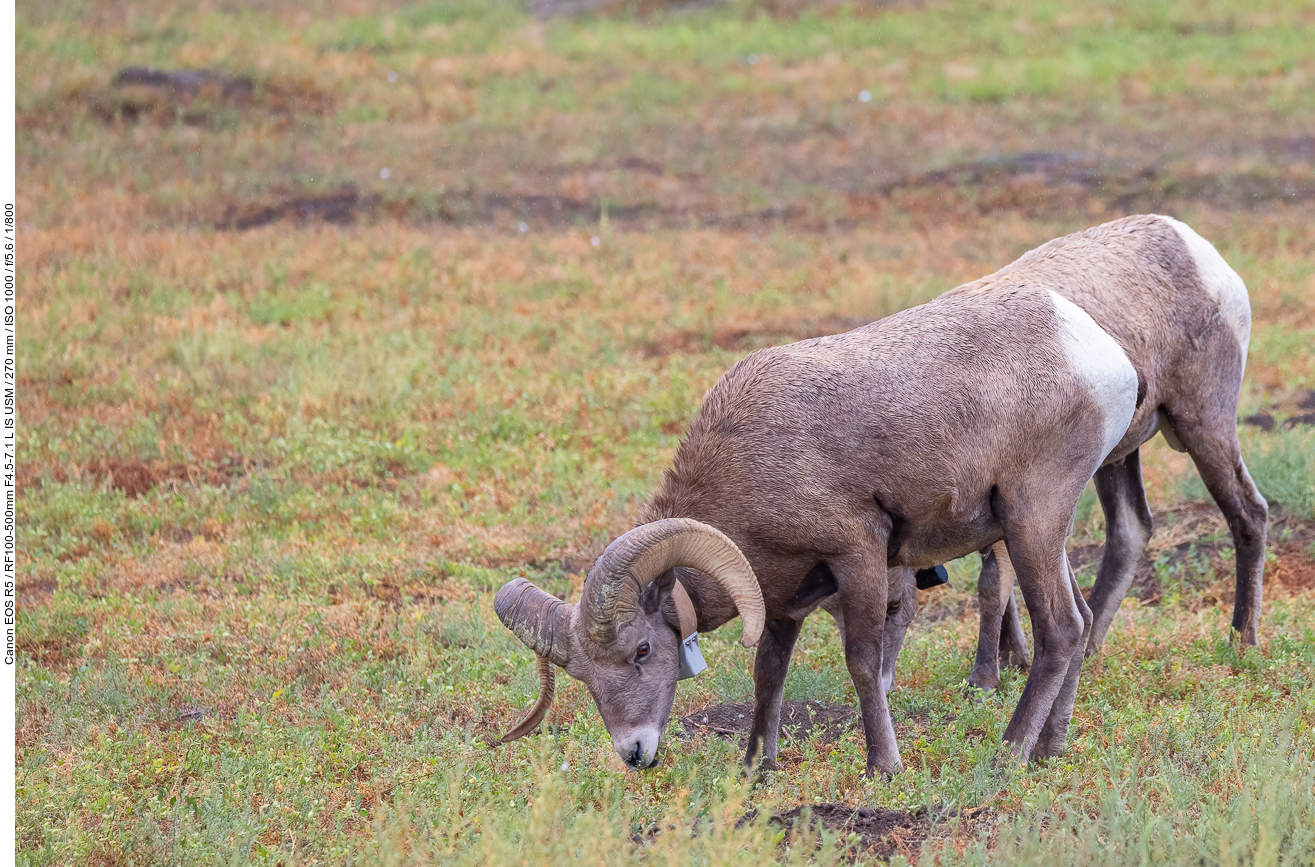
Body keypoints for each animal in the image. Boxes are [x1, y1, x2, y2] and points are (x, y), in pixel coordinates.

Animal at [494, 213, 1262, 778]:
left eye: (642, 652)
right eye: (586, 677)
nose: (635, 754)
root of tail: (1099, 353)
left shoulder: (859, 556)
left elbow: (864, 660)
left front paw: (881, 766)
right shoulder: (783, 591)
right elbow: (768, 669)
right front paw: (755, 765)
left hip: (1056, 503)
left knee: (1075, 622)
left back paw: (1014, 752)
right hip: (1069, 505)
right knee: (1093, 592)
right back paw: (1049, 749)